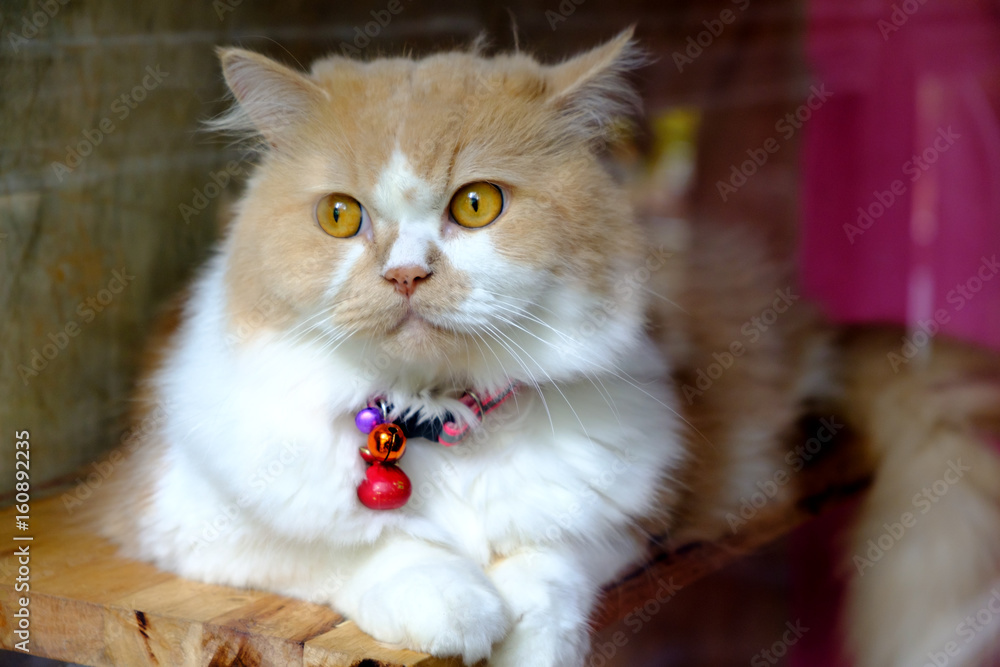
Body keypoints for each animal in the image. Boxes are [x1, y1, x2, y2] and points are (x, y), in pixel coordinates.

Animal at [97, 27, 1000, 667]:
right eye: (341, 216)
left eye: (476, 204)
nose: (405, 274)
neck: (437, 417)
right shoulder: (182, 513)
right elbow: (359, 548)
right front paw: (454, 605)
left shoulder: (642, 508)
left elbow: (548, 562)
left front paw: (523, 636)